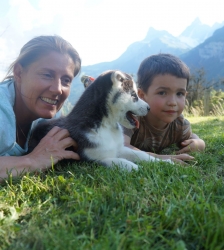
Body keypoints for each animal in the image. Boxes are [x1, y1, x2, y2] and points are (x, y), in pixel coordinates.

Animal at [27, 71, 172, 171]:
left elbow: (141, 154)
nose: (149, 108)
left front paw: (162, 162)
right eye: (134, 96)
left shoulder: (119, 148)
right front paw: (139, 168)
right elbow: (122, 162)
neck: (106, 125)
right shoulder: (92, 160)